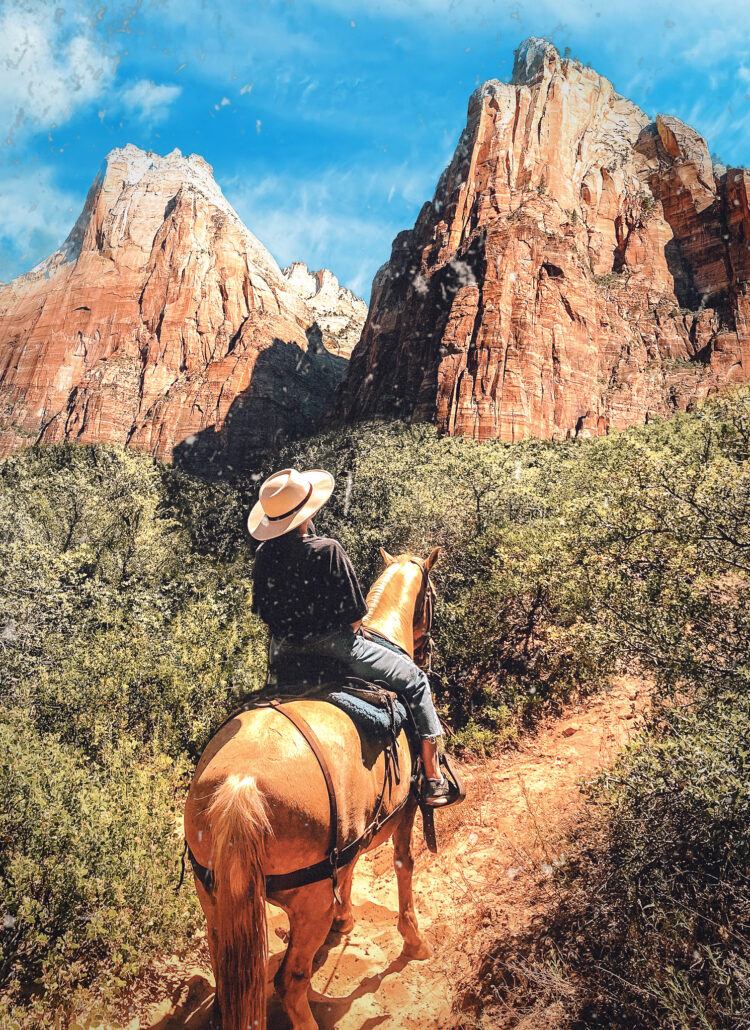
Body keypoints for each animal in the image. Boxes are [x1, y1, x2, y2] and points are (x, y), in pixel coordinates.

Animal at [181, 543, 438, 1030]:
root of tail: (240, 785)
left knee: (230, 975)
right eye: (432, 596)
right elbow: (404, 865)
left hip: (216, 899)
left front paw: (345, 921)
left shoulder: (351, 838)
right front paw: (414, 940)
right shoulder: (407, 808)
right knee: (290, 982)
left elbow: (351, 871)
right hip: (308, 899)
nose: (427, 654)